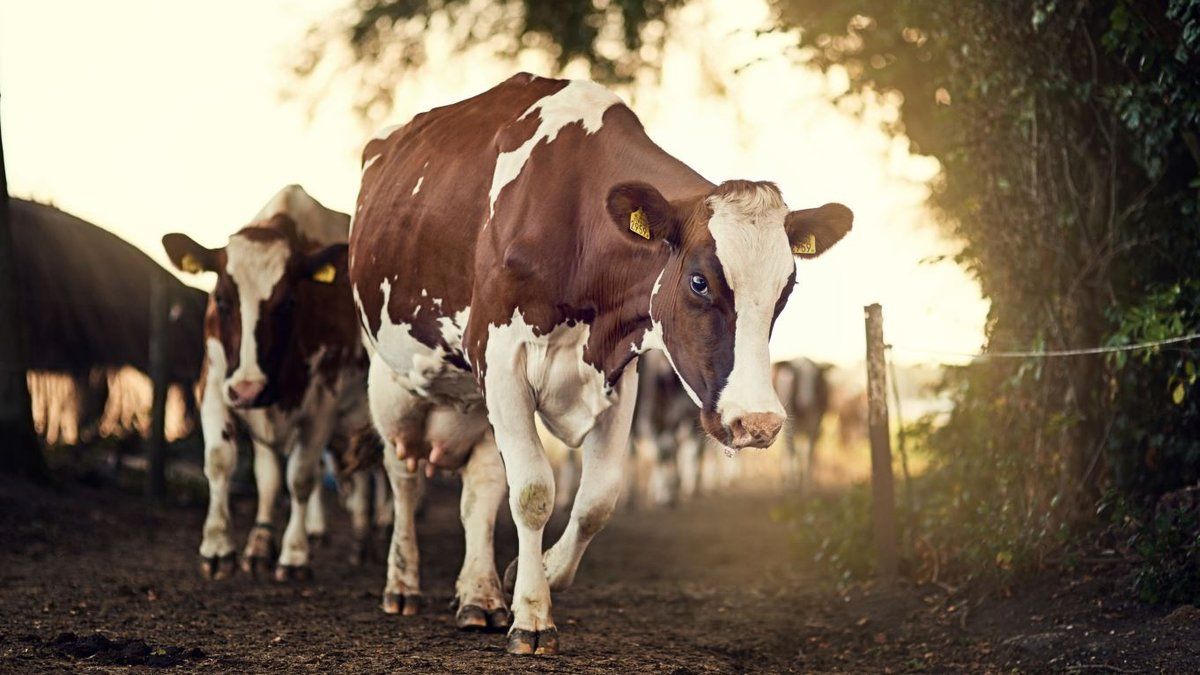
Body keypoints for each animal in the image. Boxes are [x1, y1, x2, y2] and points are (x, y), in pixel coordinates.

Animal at [162, 185, 377, 581]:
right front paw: (222, 547)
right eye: (221, 299)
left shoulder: (322, 403)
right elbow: (227, 463)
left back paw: (362, 541)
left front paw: (293, 555)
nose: (249, 389)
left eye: (288, 302)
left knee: (373, 477)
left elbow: (301, 478)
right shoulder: (214, 384)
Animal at [772, 358, 832, 489]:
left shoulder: (815, 423)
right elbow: (792, 450)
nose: (807, 401)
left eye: (815, 377)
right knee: (790, 448)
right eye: (797, 374)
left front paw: (807, 483)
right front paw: (791, 483)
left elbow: (808, 452)